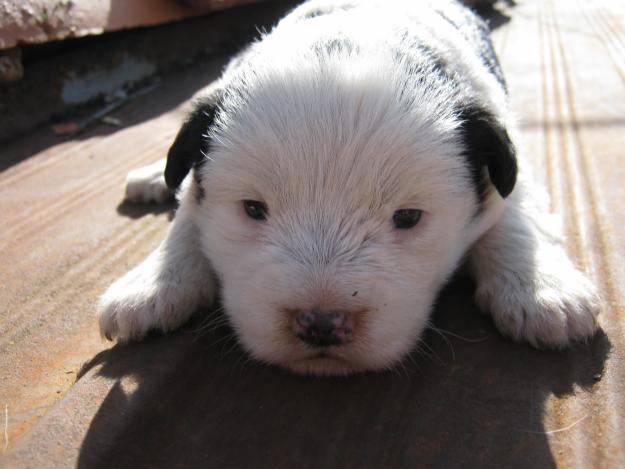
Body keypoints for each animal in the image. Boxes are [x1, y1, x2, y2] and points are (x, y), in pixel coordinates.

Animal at [98, 0, 600, 372]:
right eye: (253, 209)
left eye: (407, 218)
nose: (320, 324)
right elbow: (189, 215)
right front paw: (155, 283)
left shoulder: (507, 155)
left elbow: (514, 215)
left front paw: (541, 287)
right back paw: (151, 178)